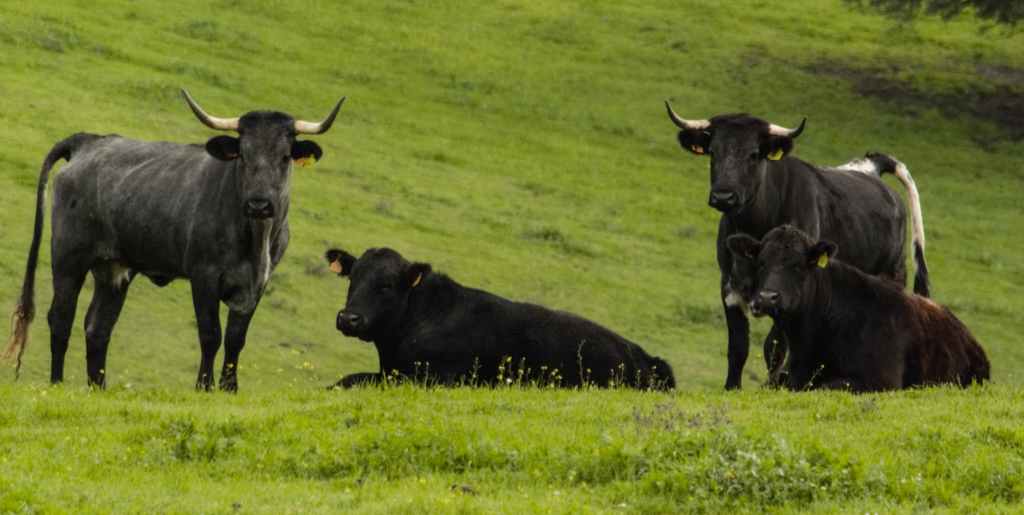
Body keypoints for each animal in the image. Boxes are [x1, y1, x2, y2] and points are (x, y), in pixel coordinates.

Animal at [3, 90, 344, 391]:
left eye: (285, 157)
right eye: (243, 155)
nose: (259, 204)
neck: (254, 237)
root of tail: (89, 141)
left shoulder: (257, 283)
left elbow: (236, 339)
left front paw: (229, 388)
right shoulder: (204, 276)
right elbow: (210, 335)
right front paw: (203, 387)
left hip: (114, 269)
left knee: (98, 327)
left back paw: (98, 388)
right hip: (68, 257)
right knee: (61, 318)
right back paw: (56, 383)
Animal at [324, 247, 675, 390]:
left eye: (385, 285)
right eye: (352, 277)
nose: (348, 318)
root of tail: (645, 356)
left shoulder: (436, 377)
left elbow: (353, 379)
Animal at [665, 104, 930, 390]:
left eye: (754, 154)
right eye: (713, 151)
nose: (723, 196)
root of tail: (871, 171)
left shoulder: (786, 294)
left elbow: (774, 347)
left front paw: (771, 386)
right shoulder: (730, 285)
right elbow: (738, 347)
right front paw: (731, 388)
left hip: (892, 274)